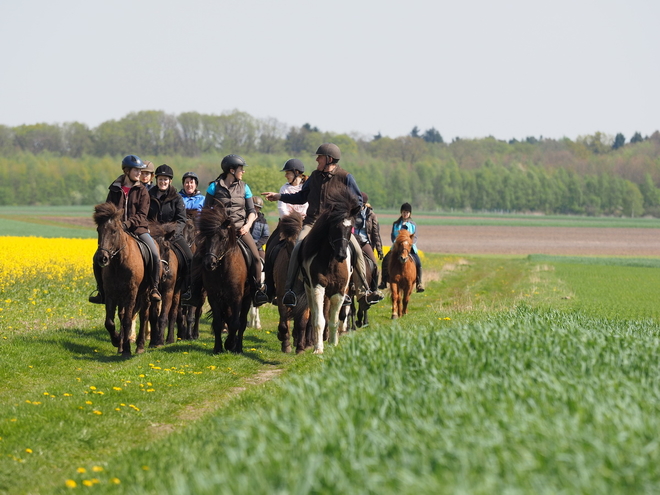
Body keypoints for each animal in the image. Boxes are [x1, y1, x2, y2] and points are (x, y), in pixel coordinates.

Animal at [92, 202, 151, 356]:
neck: (119, 262)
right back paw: (121, 345)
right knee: (123, 315)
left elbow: (127, 321)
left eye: (114, 231)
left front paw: (127, 349)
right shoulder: (110, 294)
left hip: (145, 293)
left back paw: (140, 346)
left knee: (143, 314)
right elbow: (110, 322)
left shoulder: (131, 293)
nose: (102, 258)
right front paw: (117, 340)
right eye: (98, 230)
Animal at [195, 203, 251, 354]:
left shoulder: (237, 297)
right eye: (207, 237)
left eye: (223, 238)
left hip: (246, 299)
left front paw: (231, 344)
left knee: (242, 323)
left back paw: (239, 347)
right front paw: (218, 348)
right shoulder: (214, 297)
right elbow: (217, 323)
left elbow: (236, 323)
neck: (223, 270)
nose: (210, 263)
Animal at [270, 211, 314, 354]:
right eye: (288, 243)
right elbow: (284, 322)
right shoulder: (282, 296)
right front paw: (286, 344)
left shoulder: (305, 300)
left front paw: (300, 347)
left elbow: (302, 323)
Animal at [300, 184, 360, 354]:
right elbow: (319, 319)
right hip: (309, 288)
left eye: (351, 227)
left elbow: (334, 319)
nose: (341, 255)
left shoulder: (339, 290)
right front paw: (318, 348)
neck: (330, 261)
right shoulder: (317, 287)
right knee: (315, 314)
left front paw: (333, 343)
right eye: (334, 226)